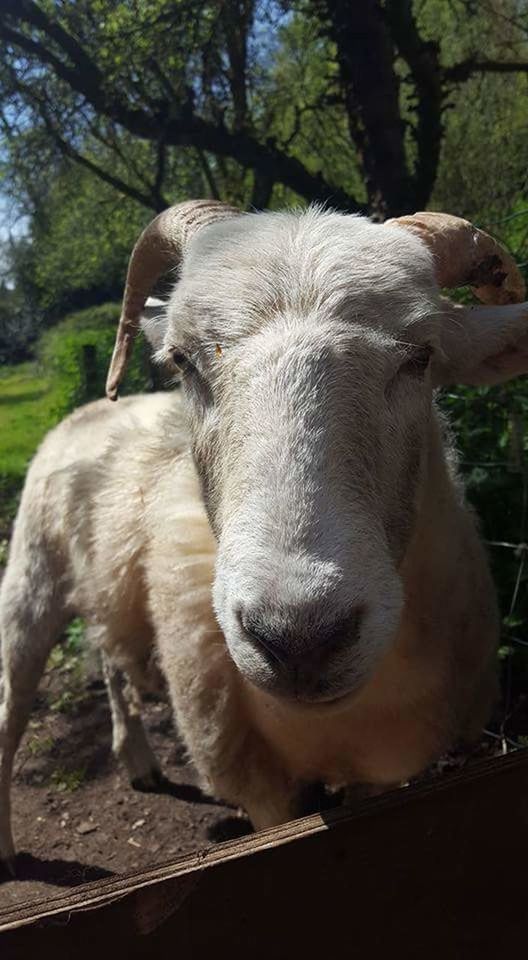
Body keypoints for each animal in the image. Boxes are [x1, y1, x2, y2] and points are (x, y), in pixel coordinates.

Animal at [1, 199, 528, 868]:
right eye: (182, 360)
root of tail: (92, 409)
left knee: (111, 658)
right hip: (29, 584)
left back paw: (139, 760)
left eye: (422, 357)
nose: (300, 639)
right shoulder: (262, 787)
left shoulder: (380, 776)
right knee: (11, 710)